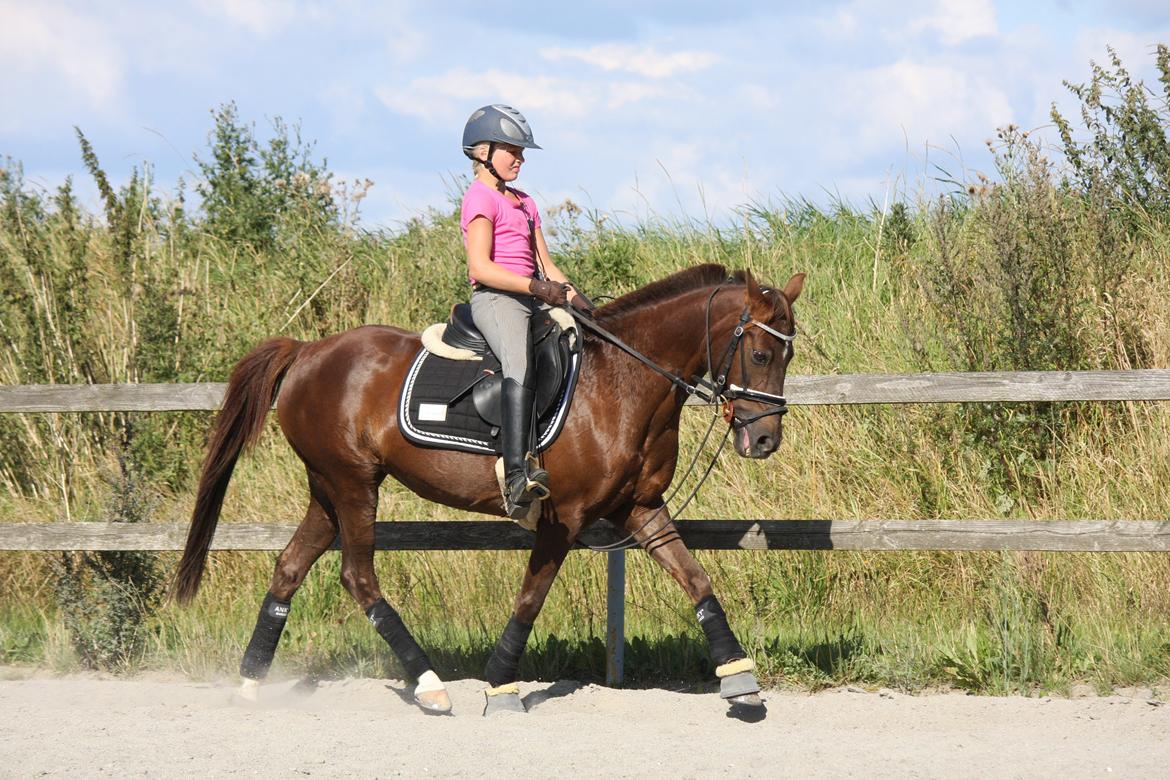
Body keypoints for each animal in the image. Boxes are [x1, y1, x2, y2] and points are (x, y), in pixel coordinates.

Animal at [173, 263, 804, 715]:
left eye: (789, 352)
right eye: (761, 352)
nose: (765, 439)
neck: (624, 380)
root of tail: (307, 351)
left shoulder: (642, 510)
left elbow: (697, 581)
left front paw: (741, 682)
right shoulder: (563, 518)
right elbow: (531, 599)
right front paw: (500, 686)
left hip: (327, 488)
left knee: (289, 567)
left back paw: (251, 684)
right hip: (352, 484)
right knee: (357, 577)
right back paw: (430, 685)